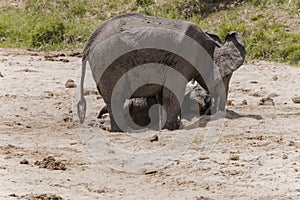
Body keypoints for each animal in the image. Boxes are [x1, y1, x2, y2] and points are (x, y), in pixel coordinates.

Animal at [78, 12, 246, 131]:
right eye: (226, 76)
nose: (211, 111)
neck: (209, 44)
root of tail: (89, 44)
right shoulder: (183, 58)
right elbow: (172, 92)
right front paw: (171, 128)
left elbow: (162, 94)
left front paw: (163, 127)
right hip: (109, 62)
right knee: (116, 97)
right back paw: (120, 130)